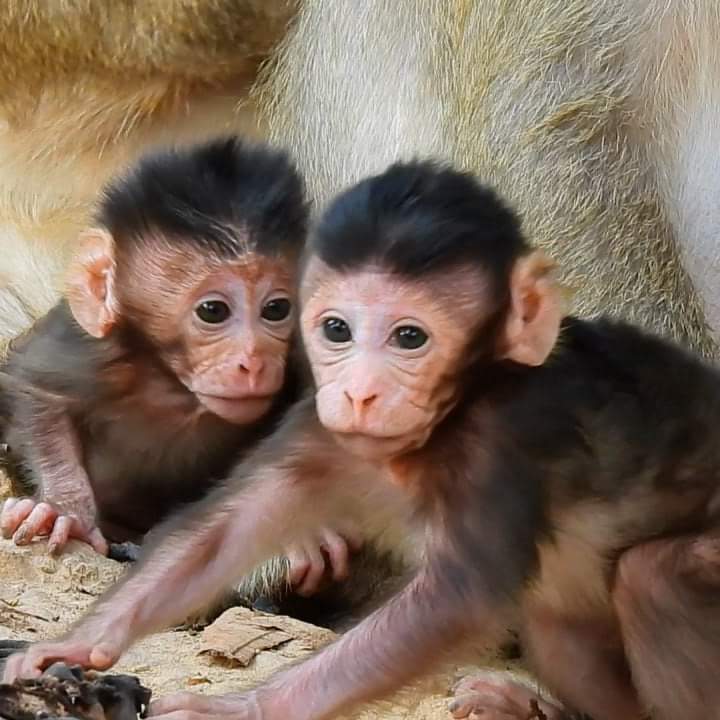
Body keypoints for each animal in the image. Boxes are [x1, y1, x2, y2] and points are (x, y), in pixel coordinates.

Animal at [5, 160, 720, 720]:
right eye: (336, 329)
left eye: (409, 337)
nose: (359, 394)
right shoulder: (313, 420)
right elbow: (224, 532)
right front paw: (71, 643)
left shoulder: (505, 442)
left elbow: (451, 603)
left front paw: (240, 709)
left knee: (654, 577)